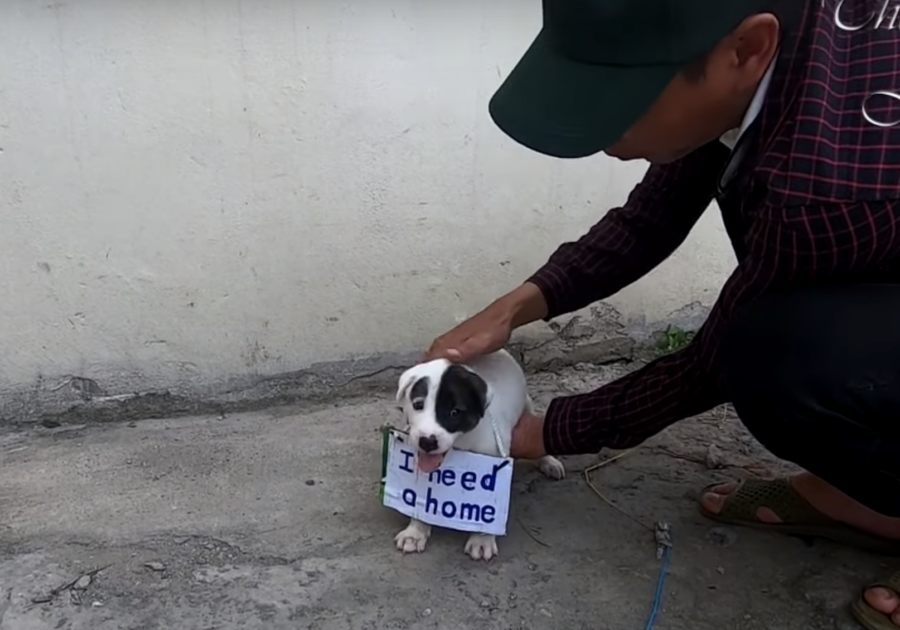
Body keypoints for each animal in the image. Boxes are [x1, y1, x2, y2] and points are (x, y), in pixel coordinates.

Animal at [392, 350, 564, 564]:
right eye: (418, 405)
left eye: (455, 412)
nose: (427, 442)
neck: (461, 443)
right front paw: (415, 532)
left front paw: (482, 540)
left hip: (527, 406)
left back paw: (549, 462)